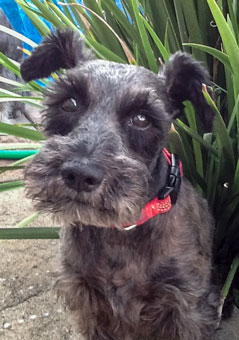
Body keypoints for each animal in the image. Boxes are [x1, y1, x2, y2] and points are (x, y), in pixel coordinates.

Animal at [20, 29, 218, 340]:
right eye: (70, 103)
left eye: (141, 118)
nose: (80, 174)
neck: (120, 232)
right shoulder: (88, 300)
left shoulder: (184, 307)